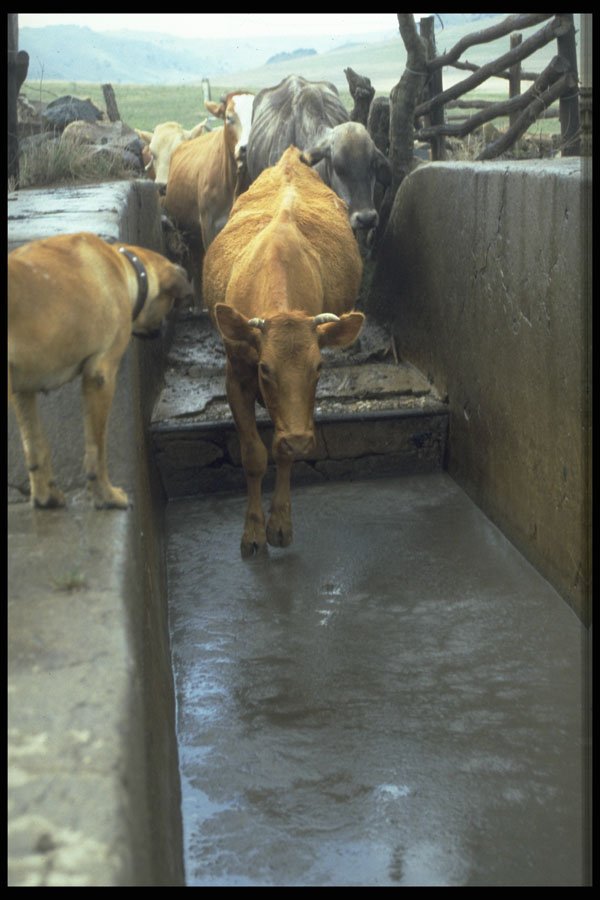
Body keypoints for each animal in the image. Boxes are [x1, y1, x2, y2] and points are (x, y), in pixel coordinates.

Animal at [203, 146, 365, 557]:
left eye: (319, 367)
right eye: (264, 368)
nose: (300, 438)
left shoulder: (301, 406)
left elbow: (281, 451)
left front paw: (279, 525)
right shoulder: (235, 377)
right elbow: (253, 455)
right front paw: (252, 531)